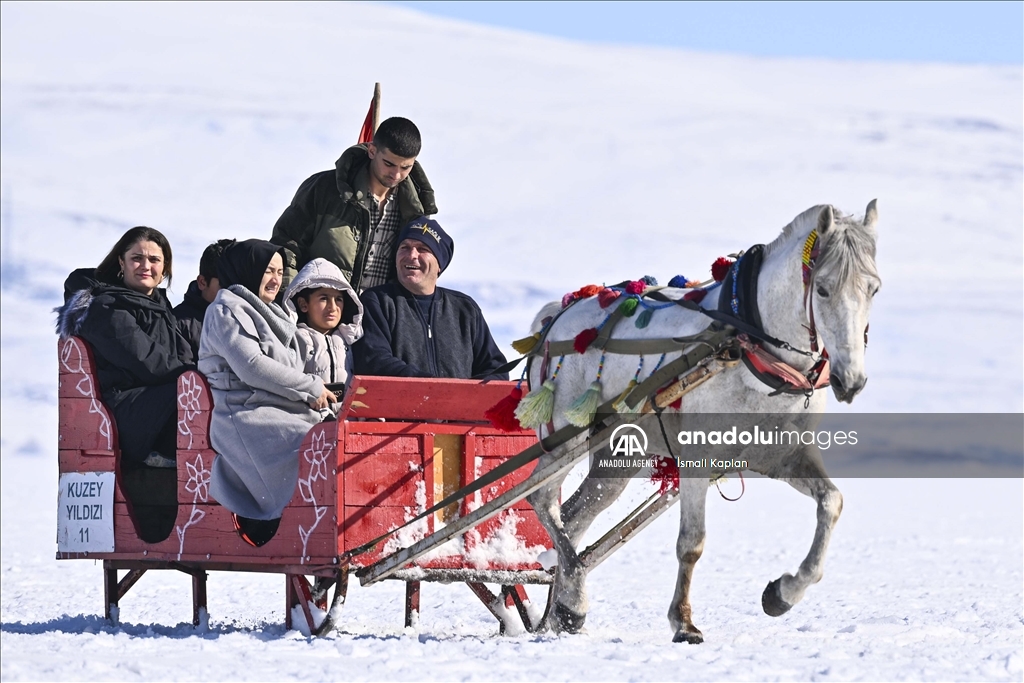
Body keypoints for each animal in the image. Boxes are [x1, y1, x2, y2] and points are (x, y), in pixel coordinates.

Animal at [524, 200, 876, 643]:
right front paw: (683, 621)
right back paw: (573, 602)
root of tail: (557, 316)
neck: (747, 341)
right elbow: (691, 543)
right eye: (824, 288)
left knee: (572, 520)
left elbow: (832, 503)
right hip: (564, 438)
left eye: (873, 288)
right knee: (542, 500)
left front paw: (782, 593)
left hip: (618, 459)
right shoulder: (697, 457)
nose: (852, 381)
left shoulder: (782, 456)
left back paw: (561, 610)